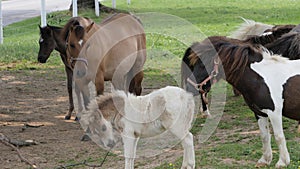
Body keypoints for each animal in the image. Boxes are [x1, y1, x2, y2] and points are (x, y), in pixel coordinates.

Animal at [186, 35, 298, 168]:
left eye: (204, 65)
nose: (188, 87)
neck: (260, 79)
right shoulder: (259, 112)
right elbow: (264, 136)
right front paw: (265, 160)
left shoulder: (274, 113)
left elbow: (279, 136)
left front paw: (282, 162)